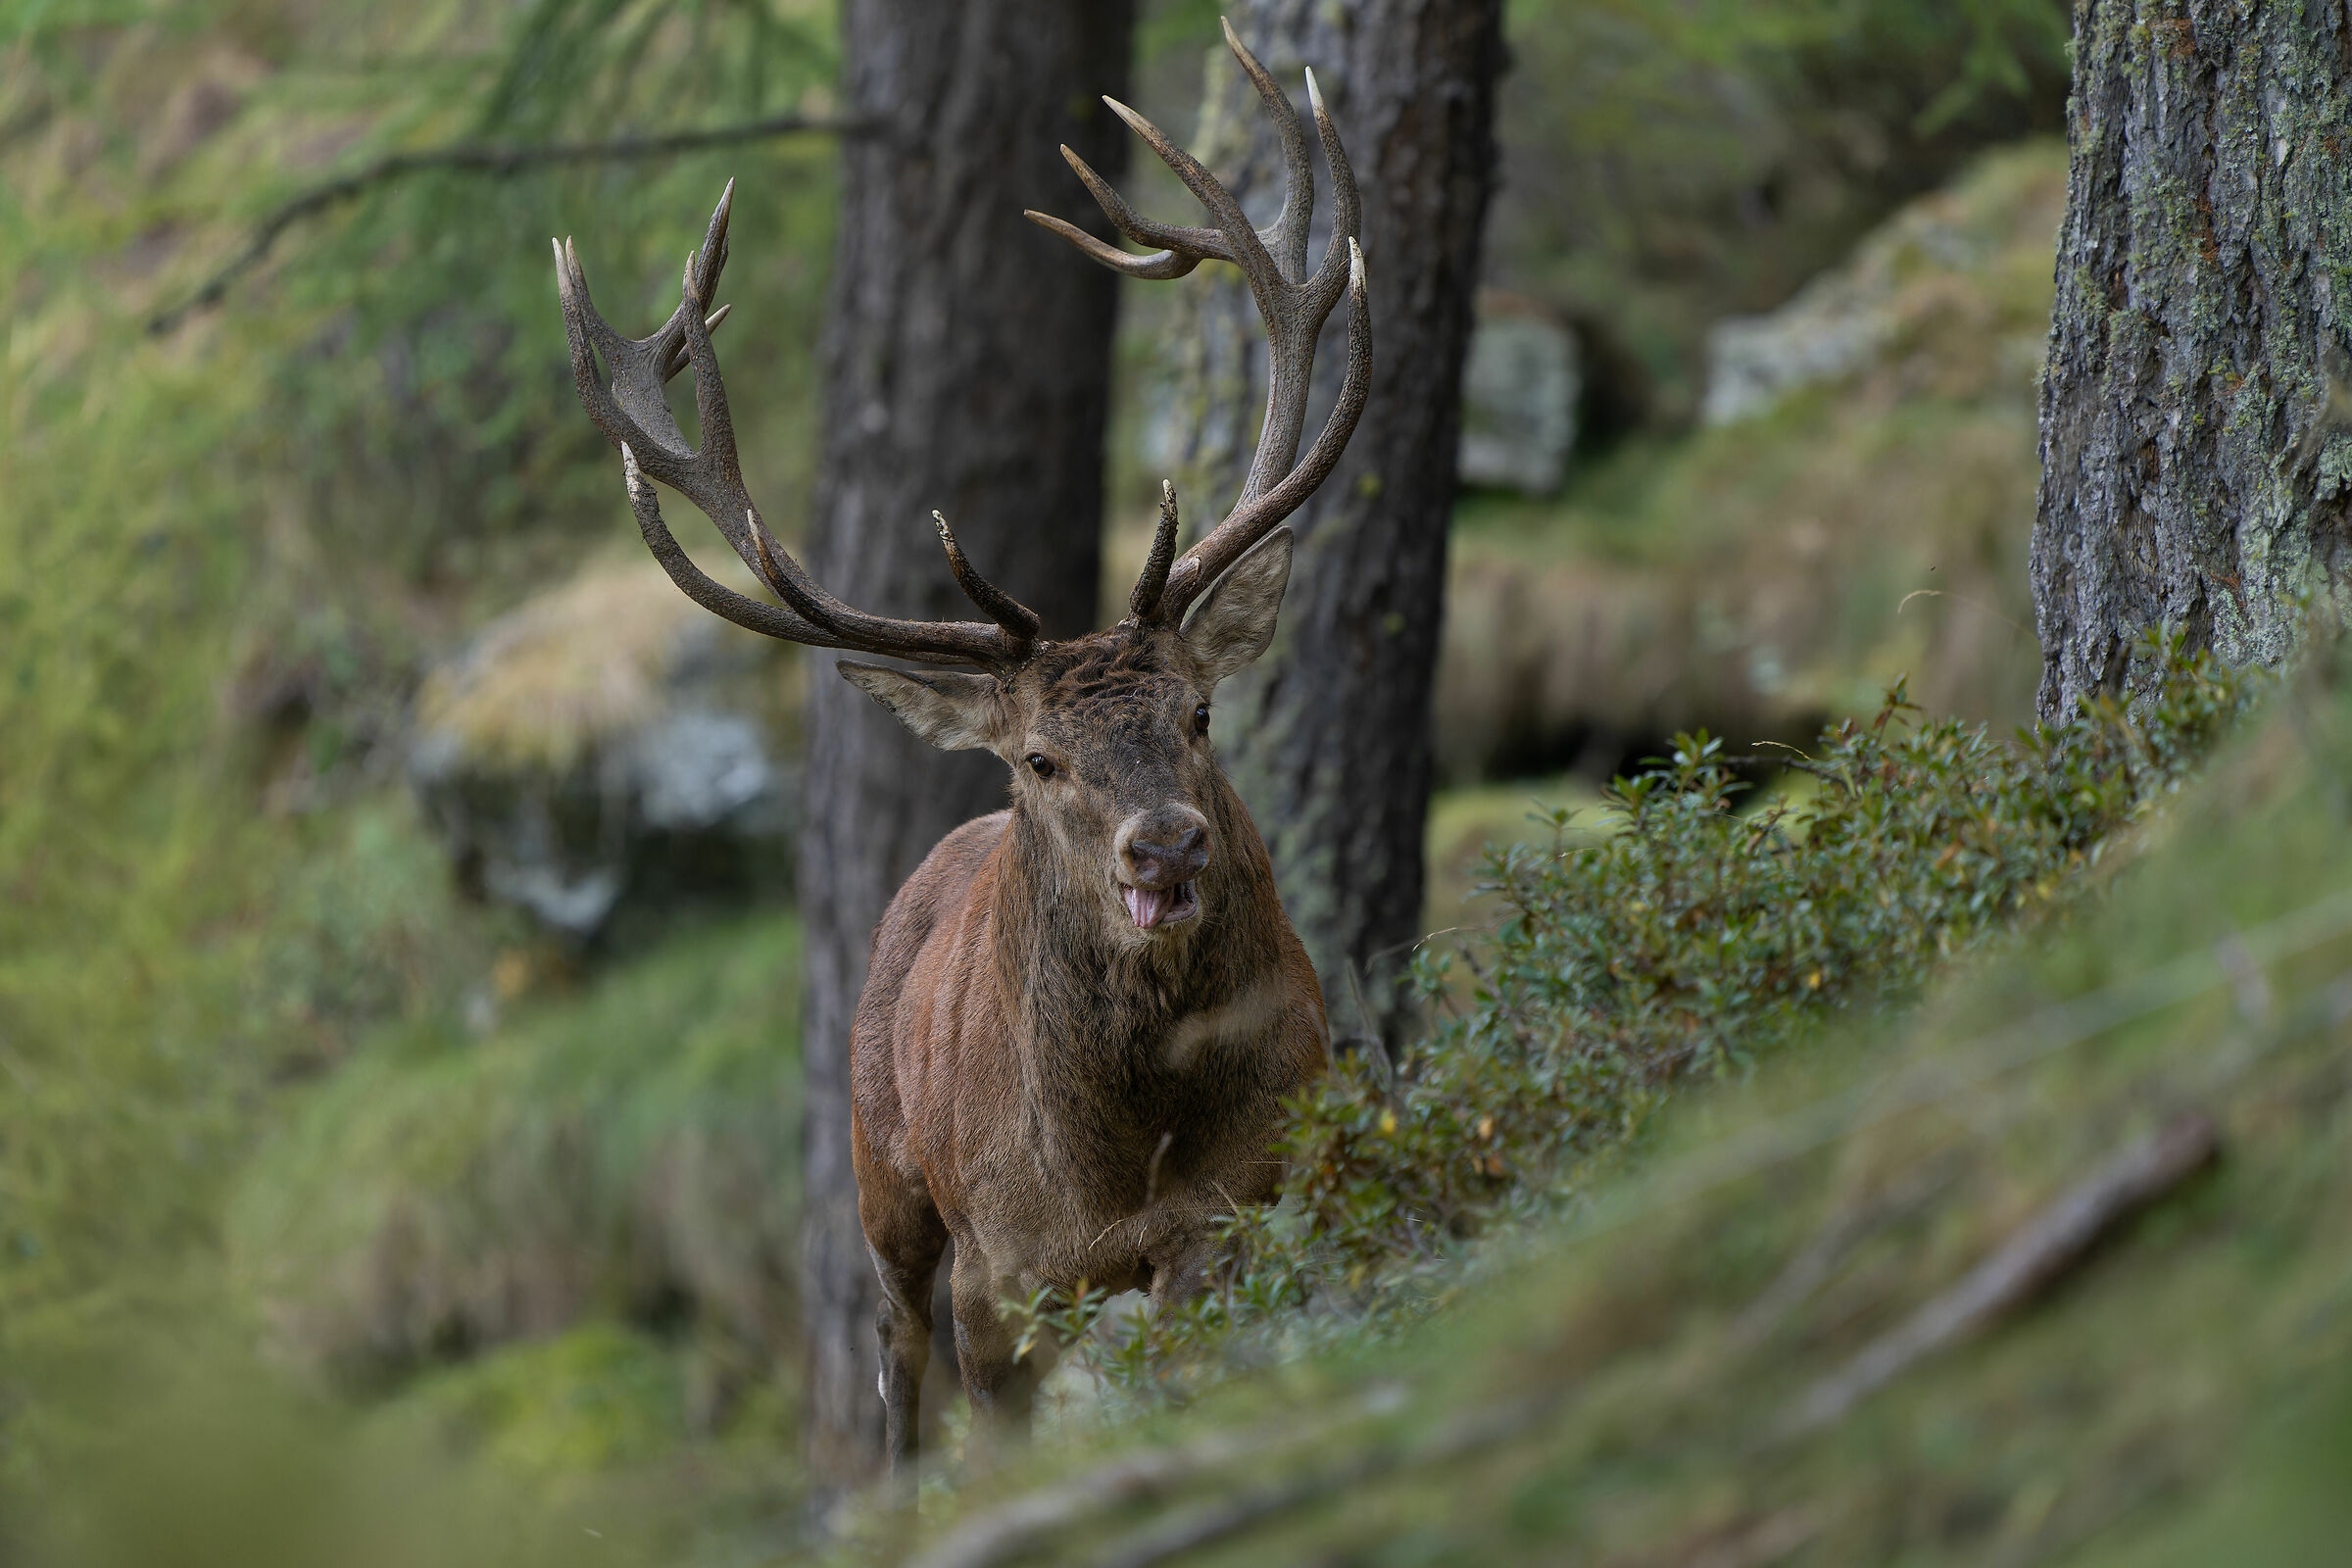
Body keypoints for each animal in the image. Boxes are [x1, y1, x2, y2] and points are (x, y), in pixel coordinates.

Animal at [552, 20, 1367, 1471]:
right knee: (891, 1356)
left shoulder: (1246, 1199)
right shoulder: (1004, 1268)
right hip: (879, 1169)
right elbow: (983, 1415)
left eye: (1199, 714)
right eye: (1038, 757)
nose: (1165, 846)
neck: (1123, 1162)